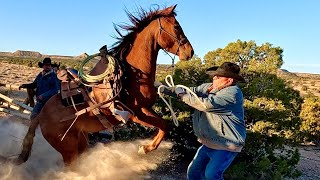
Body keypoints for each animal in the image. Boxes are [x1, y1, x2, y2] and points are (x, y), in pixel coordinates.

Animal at [16, 4, 194, 165]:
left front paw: (146, 147)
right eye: (176, 26)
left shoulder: (146, 109)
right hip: (68, 150)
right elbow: (164, 125)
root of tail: (40, 116)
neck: (130, 76)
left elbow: (165, 125)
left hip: (80, 141)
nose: (190, 52)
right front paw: (145, 148)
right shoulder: (137, 113)